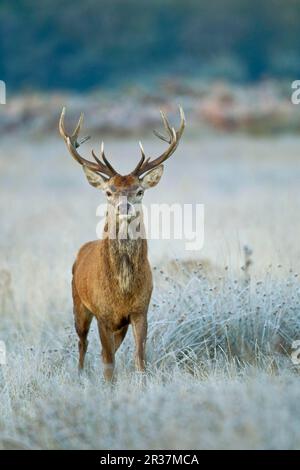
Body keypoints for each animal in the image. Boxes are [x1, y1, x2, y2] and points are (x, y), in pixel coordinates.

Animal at [58, 104, 185, 380]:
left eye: (140, 191)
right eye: (109, 191)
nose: (124, 207)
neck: (122, 290)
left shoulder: (140, 310)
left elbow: (139, 359)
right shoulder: (102, 313)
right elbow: (108, 364)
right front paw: (108, 386)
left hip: (119, 324)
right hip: (78, 302)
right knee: (82, 343)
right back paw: (80, 374)